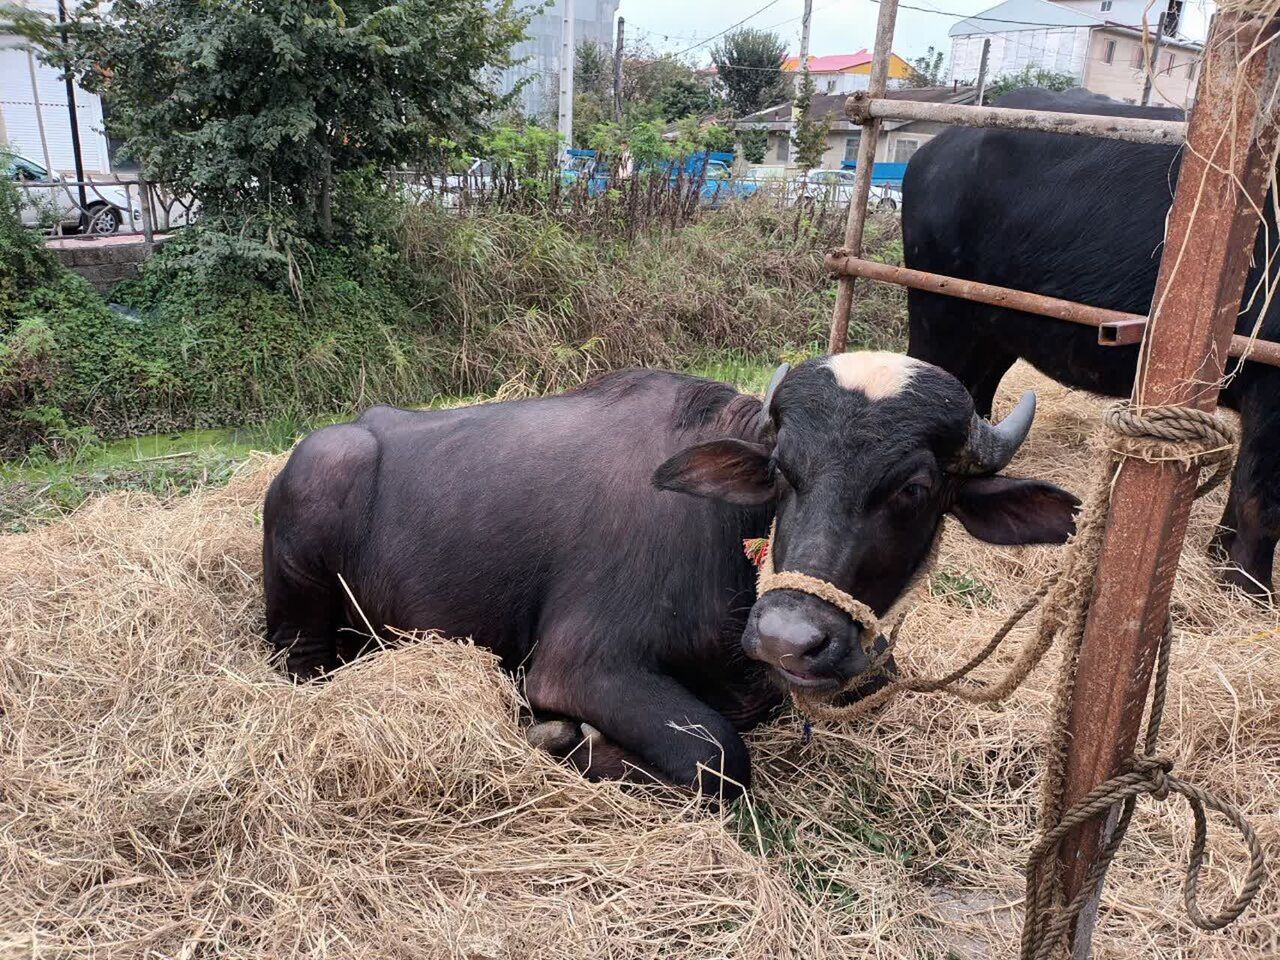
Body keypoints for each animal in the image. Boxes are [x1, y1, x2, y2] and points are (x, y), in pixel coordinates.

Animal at [262, 353, 1080, 798]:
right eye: (782, 470)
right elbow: (718, 754)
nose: (789, 640)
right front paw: (561, 737)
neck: (726, 542)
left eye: (914, 488)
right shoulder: (576, 665)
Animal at [901, 86, 1280, 599]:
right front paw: (1250, 588)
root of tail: (934, 151)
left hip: (994, 329)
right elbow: (1261, 501)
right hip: (937, 315)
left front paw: (1222, 558)